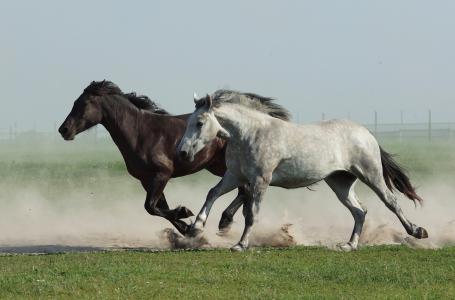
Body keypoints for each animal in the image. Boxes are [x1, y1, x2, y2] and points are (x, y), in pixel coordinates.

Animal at [59, 81, 249, 236]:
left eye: (83, 104)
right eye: (75, 103)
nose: (64, 130)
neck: (140, 133)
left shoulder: (162, 174)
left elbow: (150, 206)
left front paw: (184, 213)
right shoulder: (147, 179)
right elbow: (158, 207)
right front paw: (186, 228)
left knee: (244, 188)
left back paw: (225, 221)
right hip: (218, 166)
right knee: (243, 189)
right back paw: (225, 221)